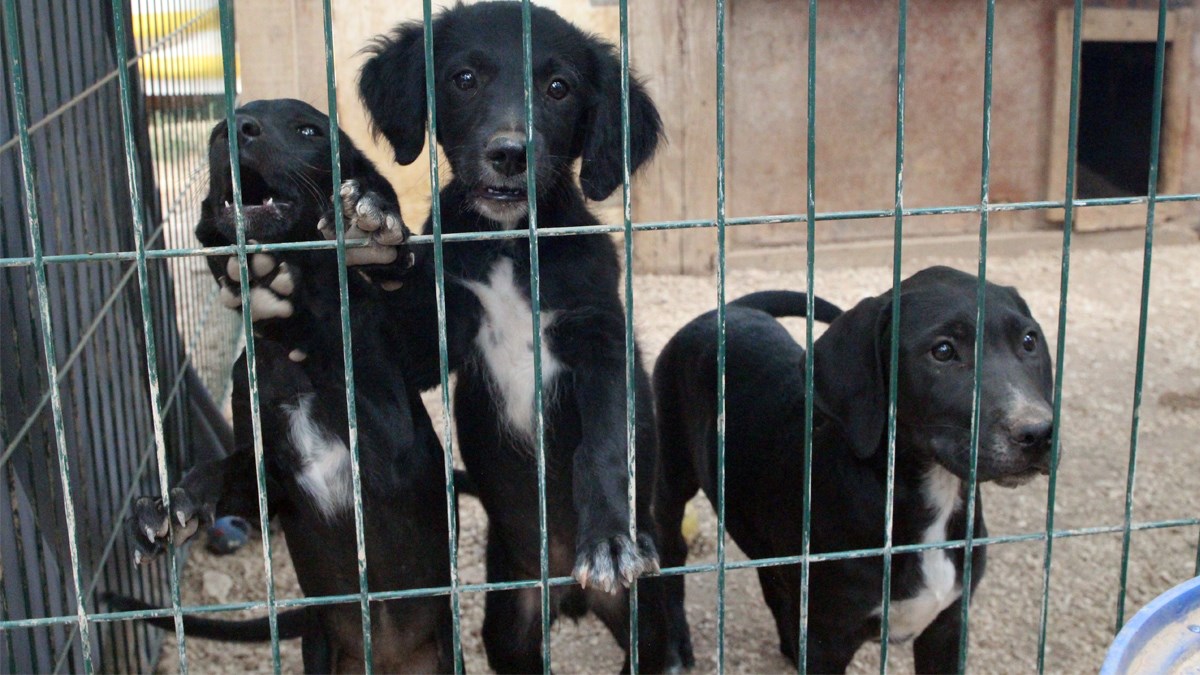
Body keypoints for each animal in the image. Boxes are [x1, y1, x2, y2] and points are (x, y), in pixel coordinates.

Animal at [350, 3, 676, 667]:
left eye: (559, 88)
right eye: (464, 78)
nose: (509, 153)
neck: (507, 244)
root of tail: (568, 594)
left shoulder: (600, 339)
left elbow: (603, 445)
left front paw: (609, 540)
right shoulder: (434, 338)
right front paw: (375, 219)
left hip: (641, 620)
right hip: (508, 621)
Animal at [652, 269, 1056, 672]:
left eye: (1029, 341)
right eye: (942, 351)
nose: (1038, 433)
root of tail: (726, 311)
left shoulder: (948, 627)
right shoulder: (827, 640)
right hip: (670, 477)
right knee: (671, 559)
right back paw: (676, 646)